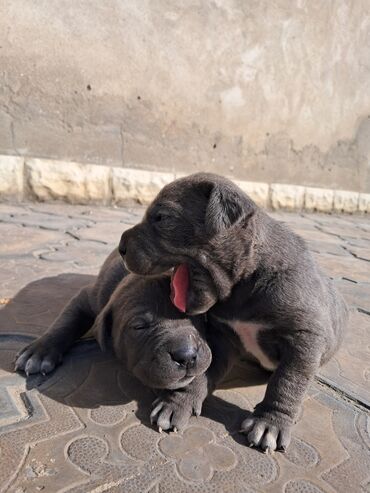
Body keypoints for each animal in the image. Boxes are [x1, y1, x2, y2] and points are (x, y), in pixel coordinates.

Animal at [14, 252, 212, 428]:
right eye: (139, 327)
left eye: (196, 317)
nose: (186, 355)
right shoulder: (87, 298)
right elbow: (66, 322)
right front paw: (39, 352)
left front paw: (178, 401)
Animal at [118, 171, 346, 452]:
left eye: (161, 218)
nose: (120, 246)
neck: (247, 281)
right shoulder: (221, 335)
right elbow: (200, 372)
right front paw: (178, 402)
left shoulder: (304, 338)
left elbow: (287, 382)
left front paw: (270, 423)